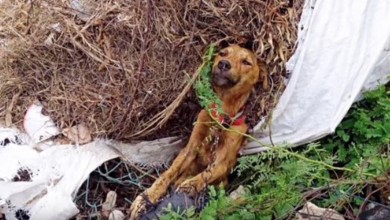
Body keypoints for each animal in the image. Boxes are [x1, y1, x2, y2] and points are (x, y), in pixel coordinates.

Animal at [129, 43, 266, 220]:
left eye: (246, 62)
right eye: (223, 53)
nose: (223, 64)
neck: (219, 117)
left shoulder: (223, 163)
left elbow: (207, 173)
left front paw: (190, 186)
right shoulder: (190, 148)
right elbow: (168, 173)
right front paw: (148, 196)